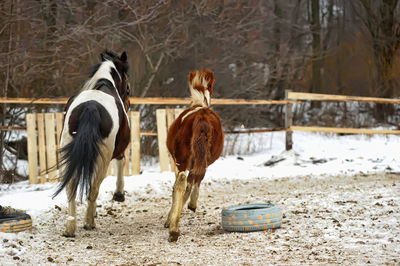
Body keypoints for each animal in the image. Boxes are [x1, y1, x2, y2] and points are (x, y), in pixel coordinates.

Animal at [53, 50, 130, 237]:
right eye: (127, 88)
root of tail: (91, 107)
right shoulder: (117, 150)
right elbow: (121, 162)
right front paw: (118, 194)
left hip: (68, 153)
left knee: (71, 188)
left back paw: (70, 227)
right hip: (102, 159)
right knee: (94, 187)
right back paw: (89, 222)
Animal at [164, 68, 223, 241]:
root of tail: (201, 116)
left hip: (182, 160)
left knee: (182, 183)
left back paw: (174, 229)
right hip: (199, 160)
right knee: (190, 180)